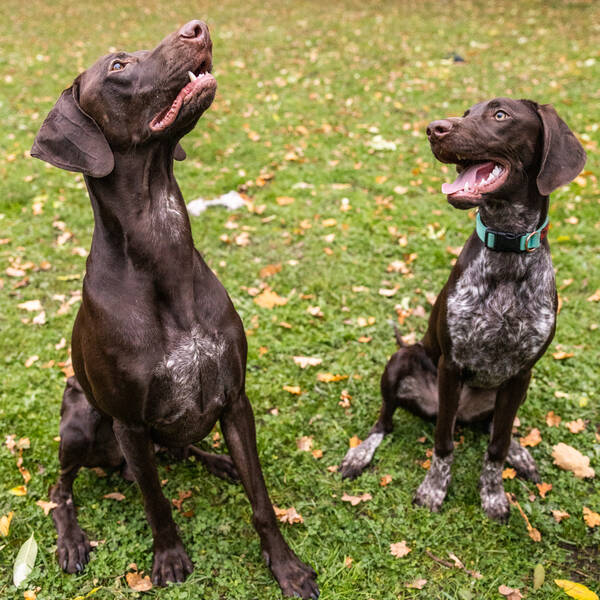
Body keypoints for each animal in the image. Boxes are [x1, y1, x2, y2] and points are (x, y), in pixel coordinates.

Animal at [31, 21, 318, 598]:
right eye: (117, 66)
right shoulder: (130, 425)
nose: (197, 28)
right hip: (80, 420)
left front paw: (286, 566)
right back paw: (71, 540)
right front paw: (168, 559)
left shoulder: (234, 399)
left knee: (182, 451)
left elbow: (261, 500)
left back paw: (217, 461)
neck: (161, 240)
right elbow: (156, 501)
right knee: (60, 489)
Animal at [341, 98, 586, 521]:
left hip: (510, 391)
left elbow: (496, 447)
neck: (506, 252)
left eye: (500, 115)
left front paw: (494, 493)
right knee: (385, 421)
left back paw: (519, 450)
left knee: (495, 427)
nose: (433, 128)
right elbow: (443, 443)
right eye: (467, 111)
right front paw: (433, 490)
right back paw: (361, 452)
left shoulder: (521, 374)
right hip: (402, 361)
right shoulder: (451, 367)